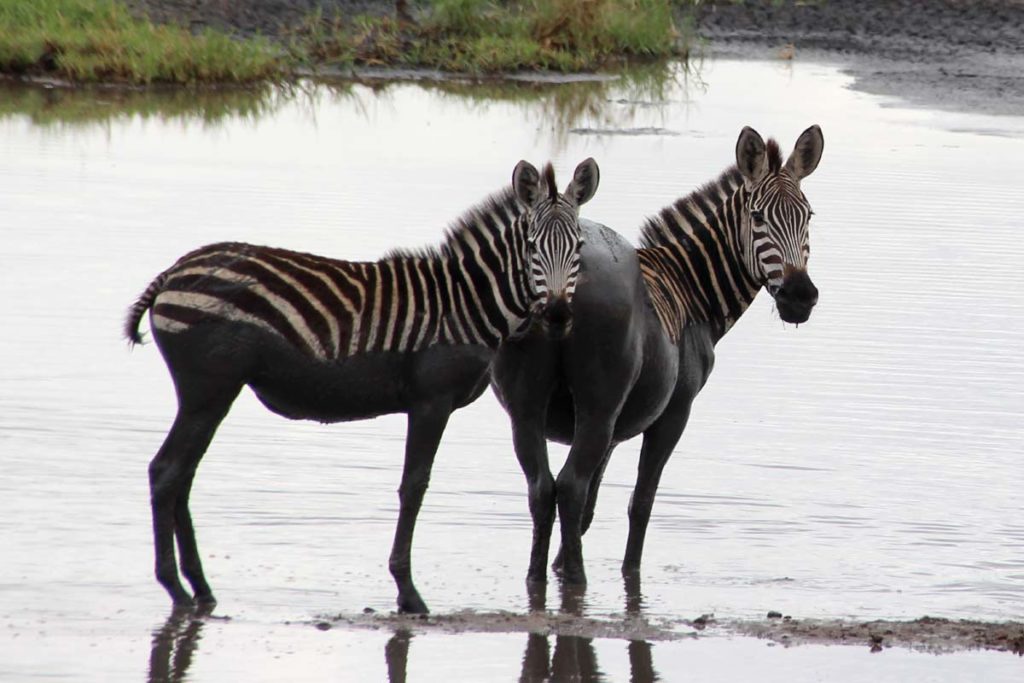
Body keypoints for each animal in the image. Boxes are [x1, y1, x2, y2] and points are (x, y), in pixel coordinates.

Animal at [125, 157, 600, 614]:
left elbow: (413, 485)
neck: (466, 303)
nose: (558, 316)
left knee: (181, 474)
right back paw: (177, 590)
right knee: (167, 471)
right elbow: (414, 486)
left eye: (578, 247)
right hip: (208, 389)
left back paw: (200, 589)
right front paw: (408, 593)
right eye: (533, 247)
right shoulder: (432, 401)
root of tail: (173, 271)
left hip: (208, 394)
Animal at [491, 125, 824, 589]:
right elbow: (641, 502)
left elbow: (591, 506)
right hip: (597, 405)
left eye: (807, 216)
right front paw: (628, 574)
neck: (689, 288)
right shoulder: (673, 412)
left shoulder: (612, 430)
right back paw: (577, 581)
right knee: (569, 487)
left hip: (527, 409)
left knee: (543, 489)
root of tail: (557, 293)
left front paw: (558, 564)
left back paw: (537, 579)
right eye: (758, 218)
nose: (799, 296)